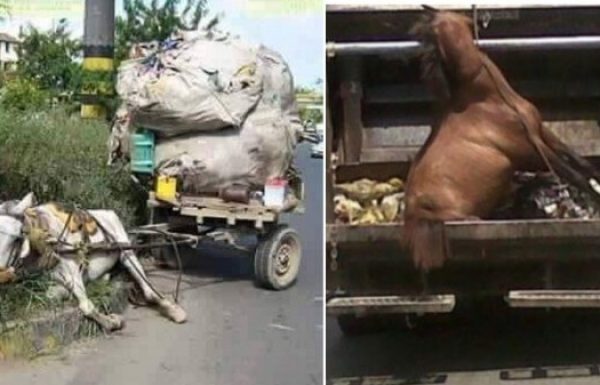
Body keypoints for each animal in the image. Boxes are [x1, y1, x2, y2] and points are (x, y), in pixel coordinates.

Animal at [0, 192, 185, 330]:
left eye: (18, 236)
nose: (2, 275)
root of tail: (107, 212)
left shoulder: (73, 273)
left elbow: (86, 306)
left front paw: (113, 321)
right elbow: (51, 294)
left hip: (125, 251)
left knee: (148, 287)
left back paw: (173, 310)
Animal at [404, 6, 600, 270]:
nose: (480, 16)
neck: (488, 100)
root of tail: (412, 218)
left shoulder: (540, 132)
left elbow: (581, 162)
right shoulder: (530, 151)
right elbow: (574, 174)